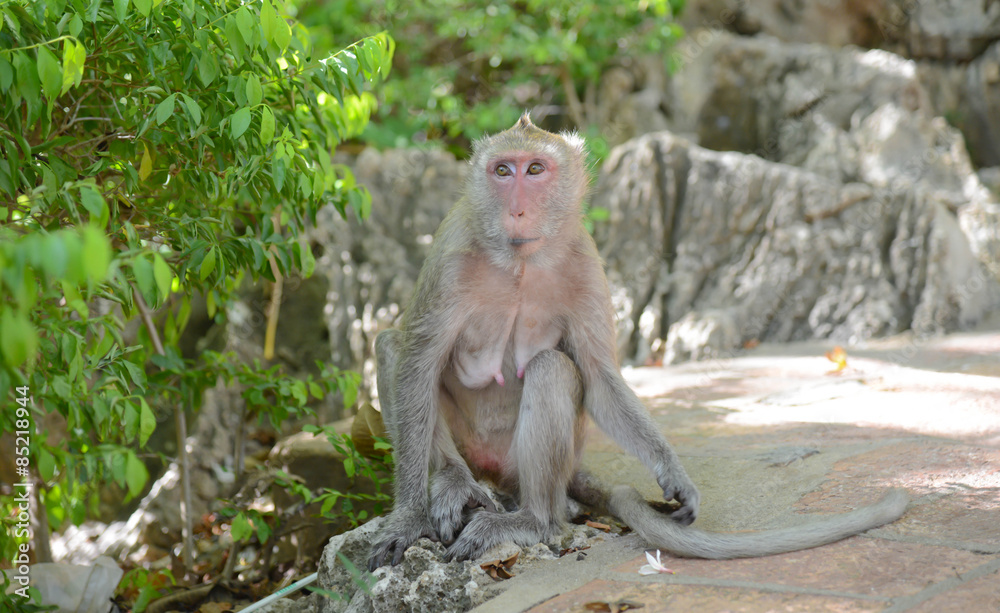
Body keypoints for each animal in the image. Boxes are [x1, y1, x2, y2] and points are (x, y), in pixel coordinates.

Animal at [366, 114, 909, 569]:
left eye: (535, 169)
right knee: (396, 349)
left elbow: (600, 378)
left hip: (531, 460)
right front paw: (410, 517)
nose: (516, 210)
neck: (519, 261)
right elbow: (417, 362)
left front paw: (672, 470)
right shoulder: (450, 256)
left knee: (552, 370)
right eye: (503, 171)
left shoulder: (586, 263)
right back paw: (457, 484)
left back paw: (533, 520)